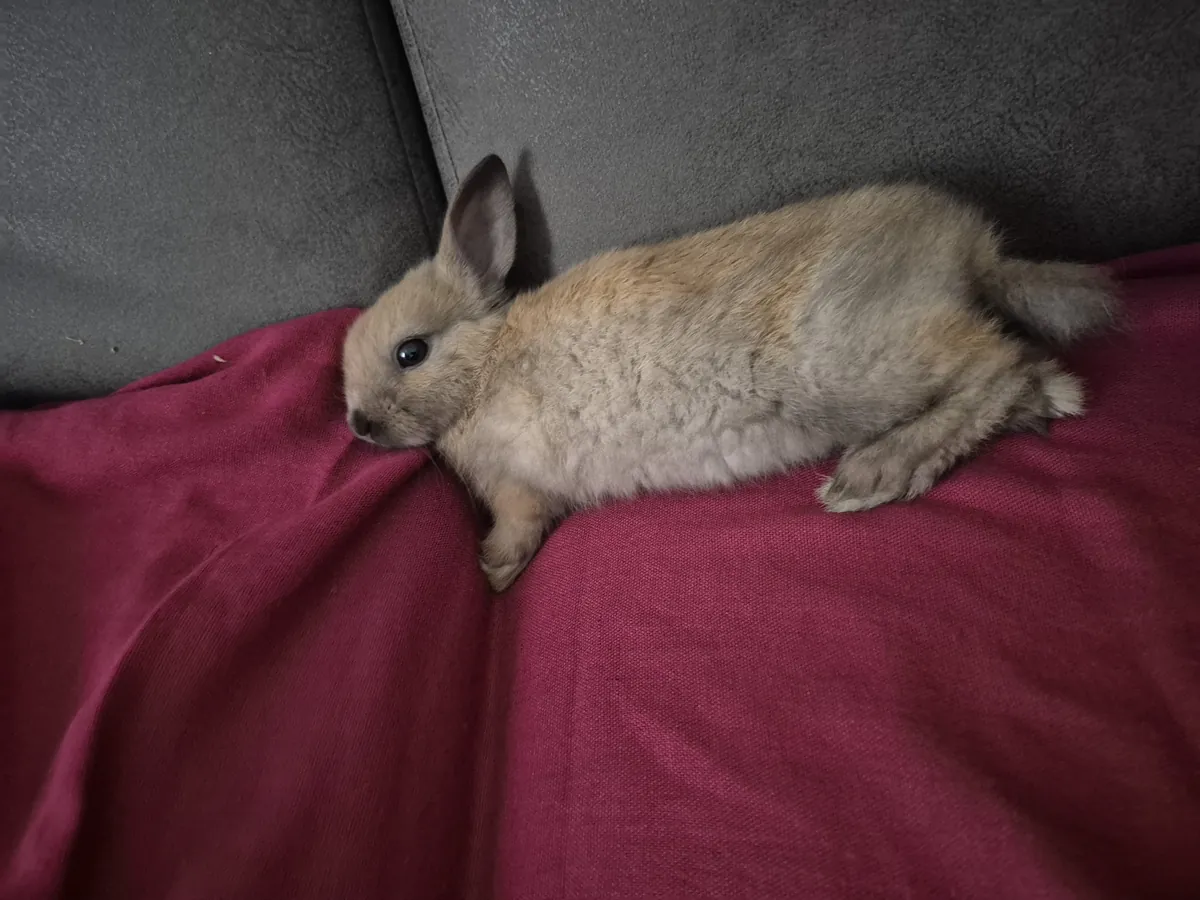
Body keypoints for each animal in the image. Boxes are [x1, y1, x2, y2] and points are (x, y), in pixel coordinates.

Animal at [342, 155, 1117, 592]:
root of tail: (973, 254)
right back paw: (1050, 402)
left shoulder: (521, 483)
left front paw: (495, 571)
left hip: (851, 365)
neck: (485, 368)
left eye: (411, 352)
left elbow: (518, 520)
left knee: (995, 364)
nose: (359, 424)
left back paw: (873, 473)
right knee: (1021, 370)